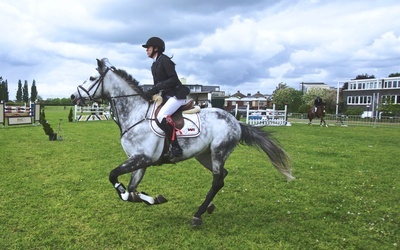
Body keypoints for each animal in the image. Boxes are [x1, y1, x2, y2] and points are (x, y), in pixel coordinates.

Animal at [69, 58, 294, 227]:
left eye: (92, 78)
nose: (72, 96)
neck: (135, 114)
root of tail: (235, 121)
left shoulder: (141, 158)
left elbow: (114, 177)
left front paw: (138, 195)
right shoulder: (140, 161)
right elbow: (132, 190)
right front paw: (152, 198)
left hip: (218, 151)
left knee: (217, 180)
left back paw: (198, 215)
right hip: (205, 155)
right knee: (221, 176)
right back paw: (208, 207)